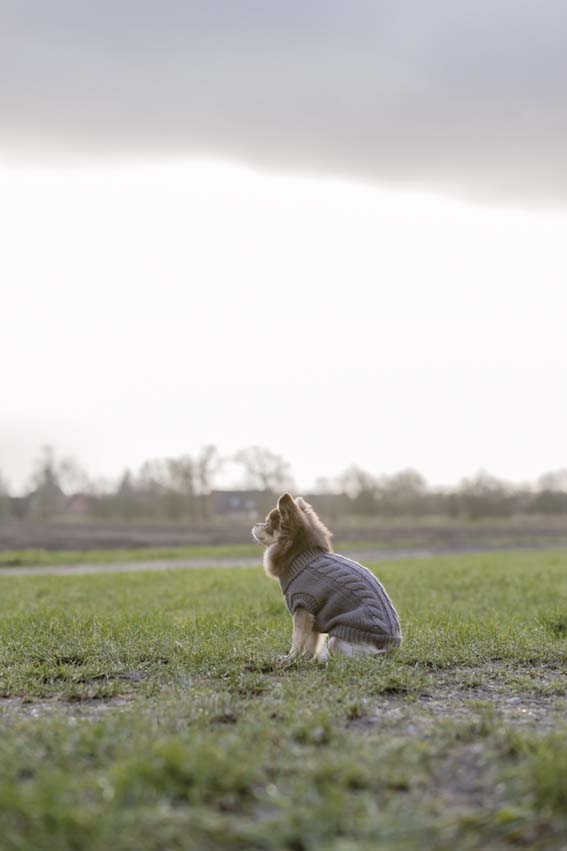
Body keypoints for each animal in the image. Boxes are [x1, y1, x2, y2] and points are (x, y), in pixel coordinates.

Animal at [253, 492, 404, 664]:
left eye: (267, 524)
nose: (256, 524)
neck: (300, 556)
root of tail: (390, 649)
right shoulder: (313, 615)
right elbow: (312, 640)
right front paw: (307, 659)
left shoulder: (303, 607)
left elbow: (298, 639)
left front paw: (290, 658)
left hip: (337, 640)